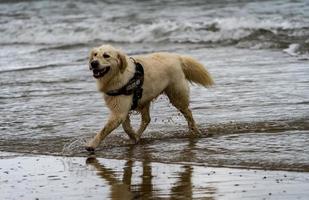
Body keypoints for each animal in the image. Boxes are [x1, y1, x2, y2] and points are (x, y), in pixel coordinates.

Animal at [85, 45, 213, 152]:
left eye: (106, 55)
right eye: (95, 54)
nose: (93, 63)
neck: (116, 76)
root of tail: (177, 57)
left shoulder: (119, 112)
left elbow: (104, 130)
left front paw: (92, 145)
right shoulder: (121, 108)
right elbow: (126, 127)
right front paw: (134, 137)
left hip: (176, 96)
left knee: (188, 113)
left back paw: (195, 131)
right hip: (145, 99)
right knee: (147, 119)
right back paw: (138, 134)